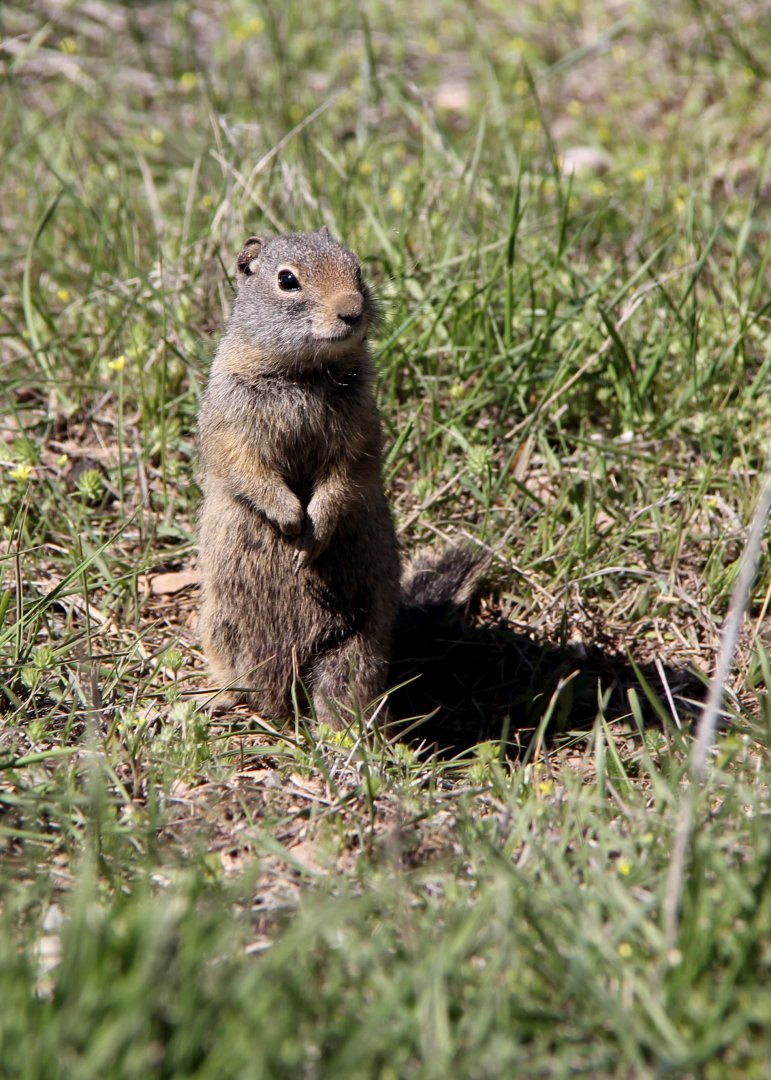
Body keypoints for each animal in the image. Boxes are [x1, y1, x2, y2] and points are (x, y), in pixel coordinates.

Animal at [197, 228, 401, 725]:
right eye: (287, 280)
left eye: (356, 268)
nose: (352, 310)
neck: (305, 374)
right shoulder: (231, 418)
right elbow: (245, 466)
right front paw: (290, 519)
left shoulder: (361, 427)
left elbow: (348, 473)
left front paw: (313, 534)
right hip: (220, 626)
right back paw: (224, 698)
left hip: (357, 645)